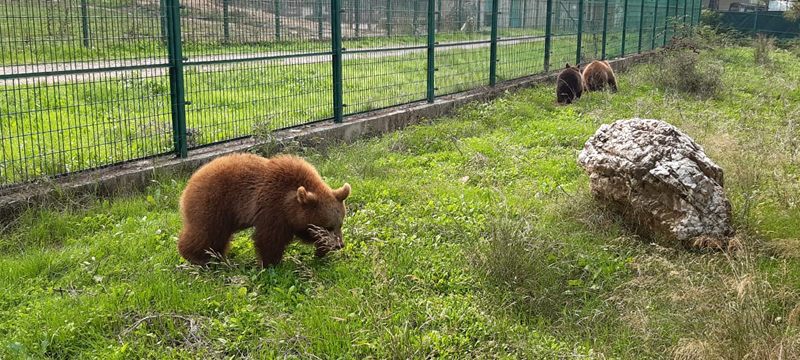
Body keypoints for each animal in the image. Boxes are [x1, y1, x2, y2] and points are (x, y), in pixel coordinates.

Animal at [178, 153, 350, 268]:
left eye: (340, 224)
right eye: (328, 226)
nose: (339, 245)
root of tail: (192, 180)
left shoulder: (295, 216)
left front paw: (321, 250)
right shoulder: (273, 206)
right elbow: (269, 239)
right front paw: (271, 264)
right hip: (214, 204)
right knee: (207, 232)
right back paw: (198, 258)